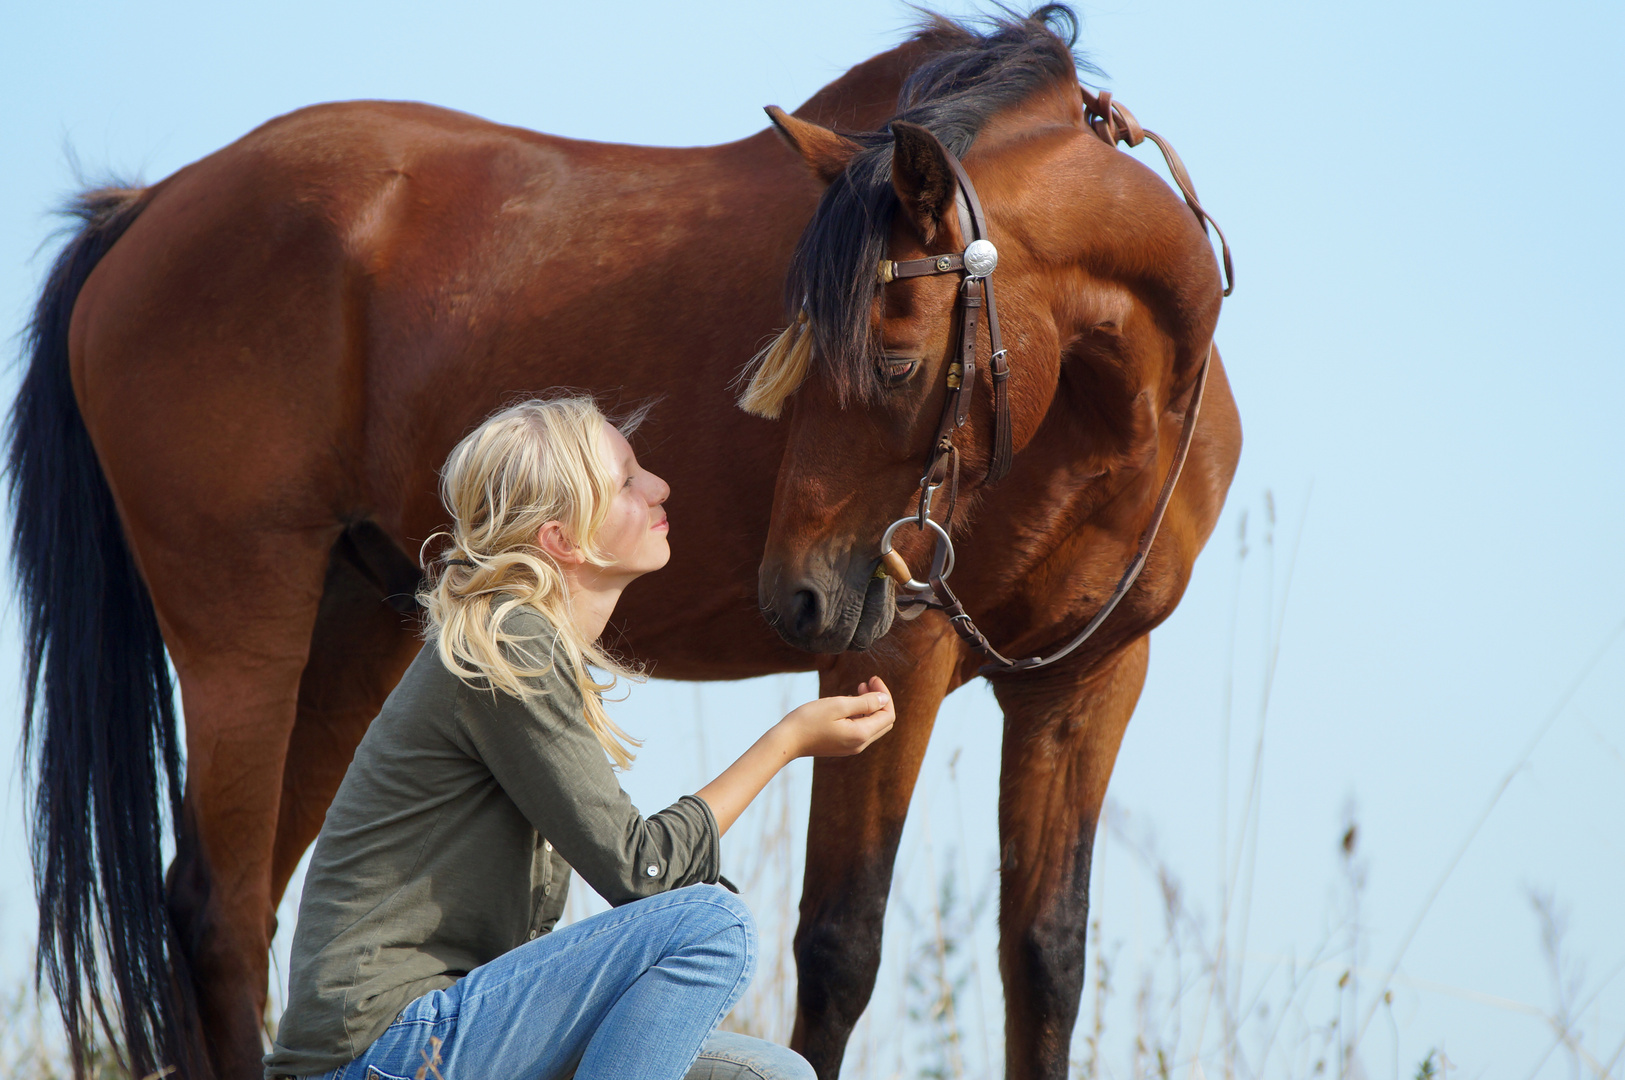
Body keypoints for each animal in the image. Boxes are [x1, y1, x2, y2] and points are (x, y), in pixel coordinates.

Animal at [12, 8, 1235, 1078]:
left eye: (891, 362)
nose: (798, 599)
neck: (1097, 421)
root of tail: (148, 207)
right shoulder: (895, 657)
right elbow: (839, 949)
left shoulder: (1084, 685)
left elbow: (1045, 960)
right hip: (242, 634)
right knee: (216, 915)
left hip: (351, 630)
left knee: (254, 903)